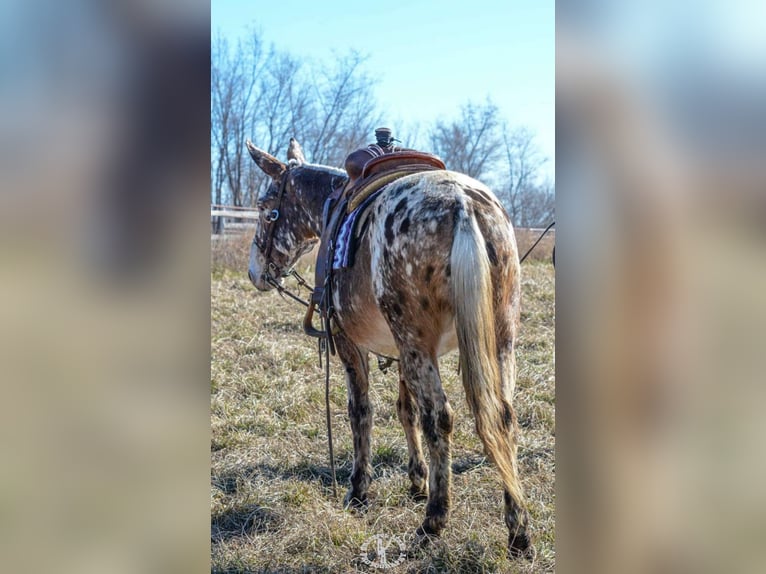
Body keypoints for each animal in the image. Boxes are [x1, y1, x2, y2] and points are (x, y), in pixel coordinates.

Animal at [246, 137, 536, 560]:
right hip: (498, 339)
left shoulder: (351, 344)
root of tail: (463, 204)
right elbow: (406, 410)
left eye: (266, 208)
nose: (255, 271)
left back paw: (433, 521)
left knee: (440, 417)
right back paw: (518, 531)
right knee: (502, 418)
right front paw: (417, 479)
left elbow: (361, 412)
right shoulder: (406, 353)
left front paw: (358, 490)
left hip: (417, 340)